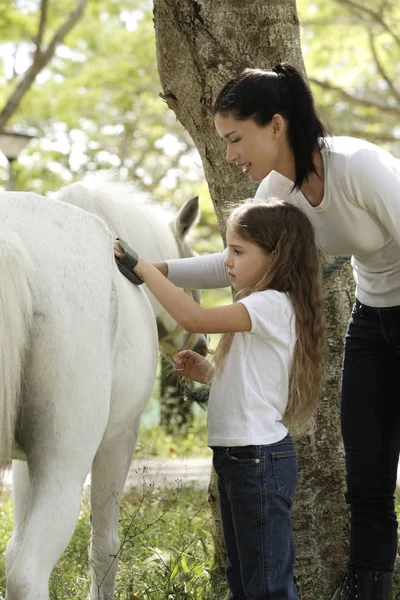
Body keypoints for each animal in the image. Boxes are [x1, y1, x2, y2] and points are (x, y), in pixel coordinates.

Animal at [0, 183, 203, 600]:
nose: (203, 347)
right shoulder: (118, 441)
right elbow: (105, 546)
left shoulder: (25, 463)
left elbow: (11, 546)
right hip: (65, 465)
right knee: (28, 572)